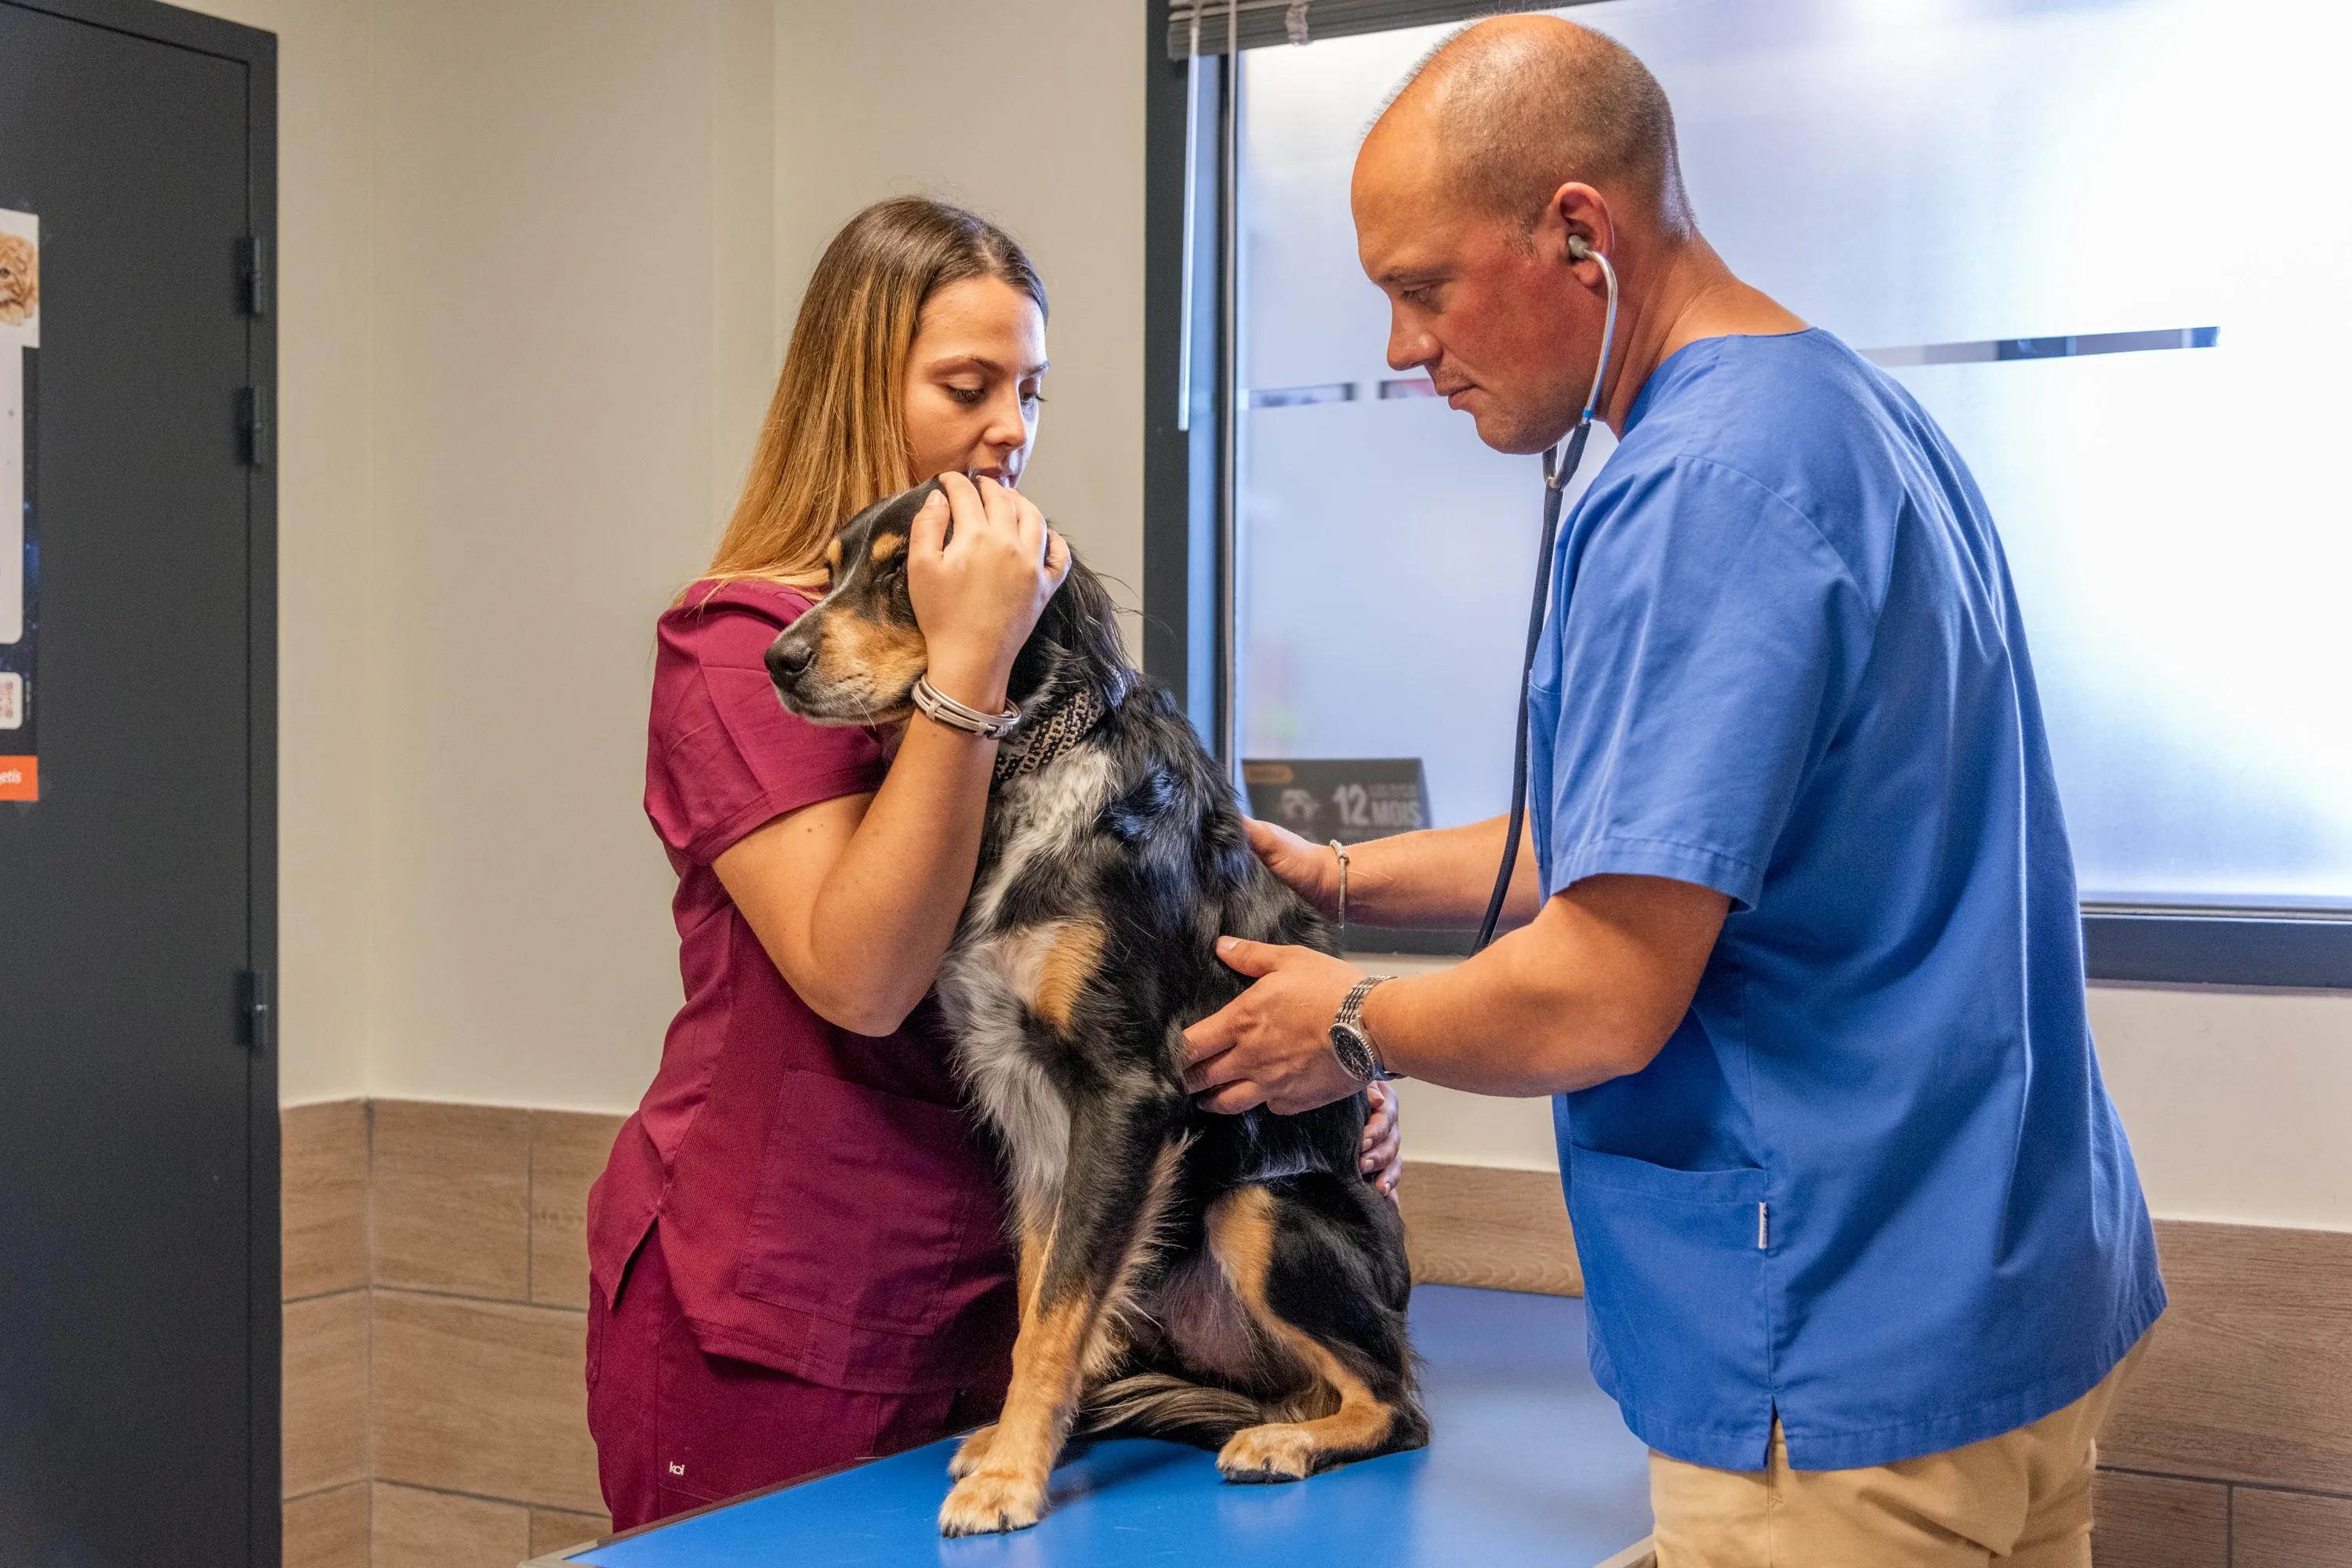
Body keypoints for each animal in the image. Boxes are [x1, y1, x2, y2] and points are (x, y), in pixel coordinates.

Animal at [776, 481, 1430, 1533]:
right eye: (829, 570)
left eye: (909, 571)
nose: (777, 659)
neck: (1023, 772)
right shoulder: (1033, 1104)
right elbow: (1042, 1296)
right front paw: (1014, 1443)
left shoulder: (1126, 1090)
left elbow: (1056, 1312)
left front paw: (1012, 1476)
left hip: (1260, 1204)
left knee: (1396, 1403)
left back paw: (1287, 1440)